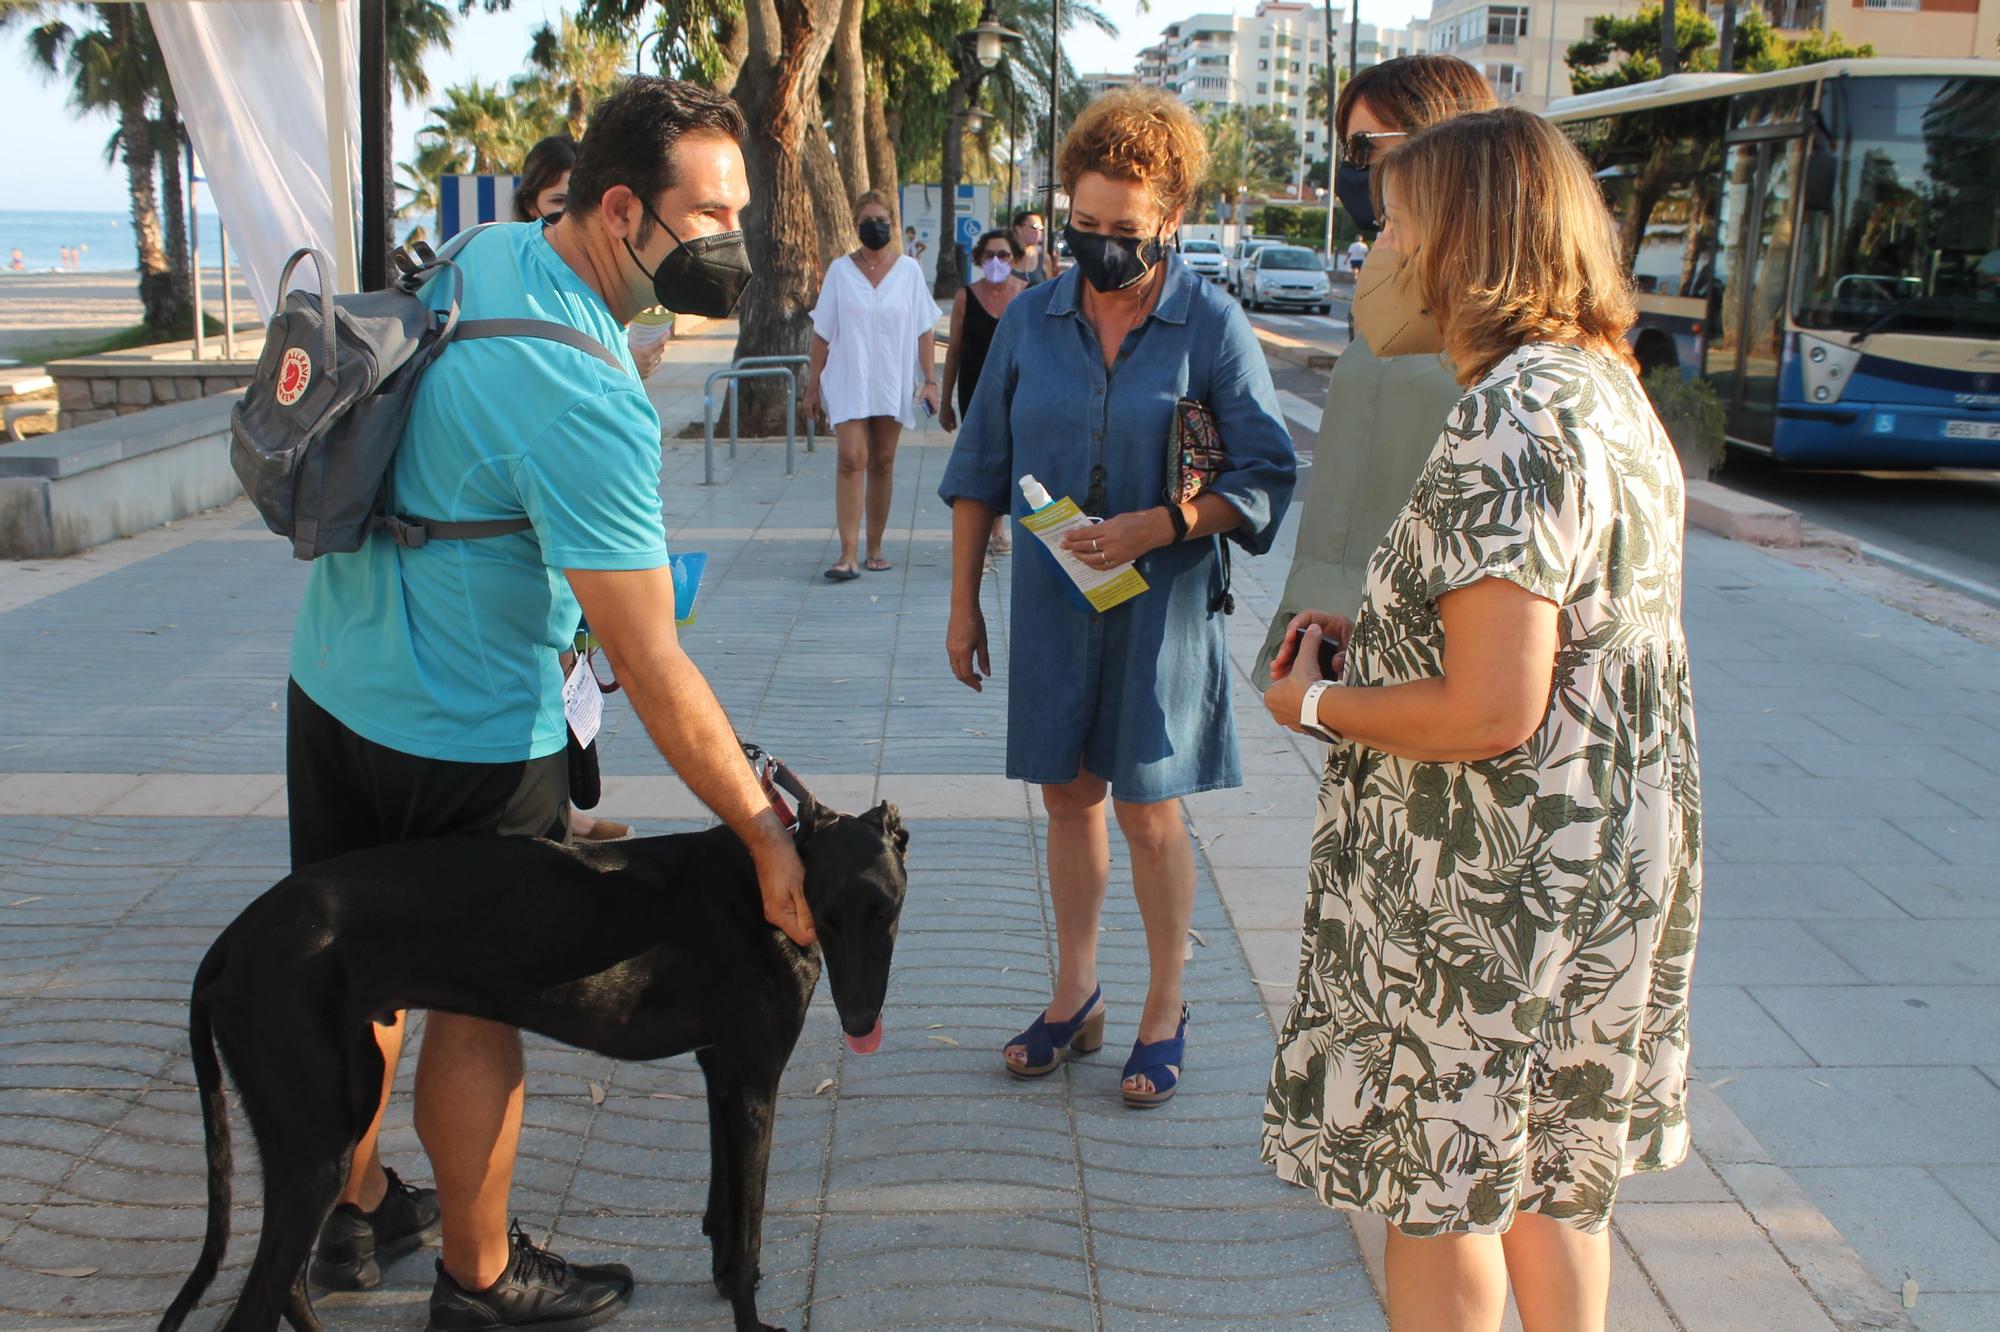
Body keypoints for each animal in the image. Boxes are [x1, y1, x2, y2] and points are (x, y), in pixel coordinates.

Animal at [160, 788, 912, 1328]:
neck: (765, 875)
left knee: (286, 1288)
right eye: (824, 912)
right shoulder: (756, 1079)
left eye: (885, 911)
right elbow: (750, 1226)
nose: (859, 1023)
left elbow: (726, 1215)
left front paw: (727, 1279)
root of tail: (235, 938)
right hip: (318, 1138)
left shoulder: (721, 1073)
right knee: (259, 1302)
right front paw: (752, 1317)